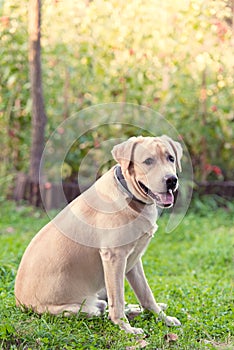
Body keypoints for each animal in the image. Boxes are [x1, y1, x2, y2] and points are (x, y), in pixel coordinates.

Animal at [14, 135, 183, 334]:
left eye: (171, 158)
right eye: (148, 161)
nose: (171, 180)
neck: (129, 195)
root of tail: (20, 303)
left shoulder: (134, 260)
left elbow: (146, 294)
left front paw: (163, 318)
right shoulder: (114, 258)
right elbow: (118, 300)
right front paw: (126, 328)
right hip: (81, 308)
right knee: (102, 309)